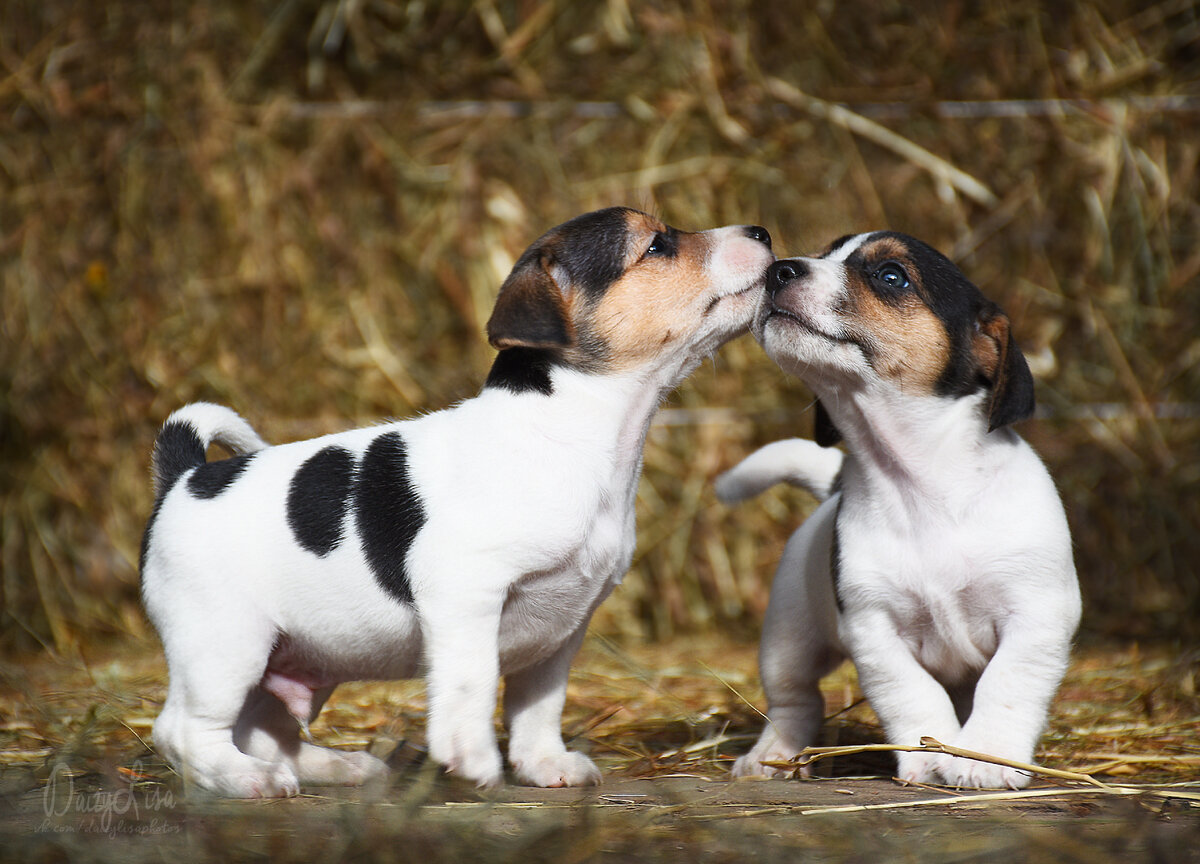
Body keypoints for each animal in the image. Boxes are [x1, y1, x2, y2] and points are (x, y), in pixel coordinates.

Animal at [142, 207, 777, 796]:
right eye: (658, 244)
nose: (763, 232)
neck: (568, 432)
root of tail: (186, 476)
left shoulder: (563, 629)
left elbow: (538, 707)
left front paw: (544, 764)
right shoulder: (466, 594)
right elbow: (472, 681)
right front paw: (471, 757)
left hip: (297, 656)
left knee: (262, 730)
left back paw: (336, 767)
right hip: (226, 645)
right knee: (186, 730)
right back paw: (245, 778)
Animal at [715, 231, 1084, 792]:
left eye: (891, 276)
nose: (778, 269)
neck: (922, 486)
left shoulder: (1036, 615)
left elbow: (1006, 683)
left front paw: (986, 756)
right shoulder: (874, 630)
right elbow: (912, 695)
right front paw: (931, 755)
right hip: (787, 640)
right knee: (794, 702)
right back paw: (772, 755)